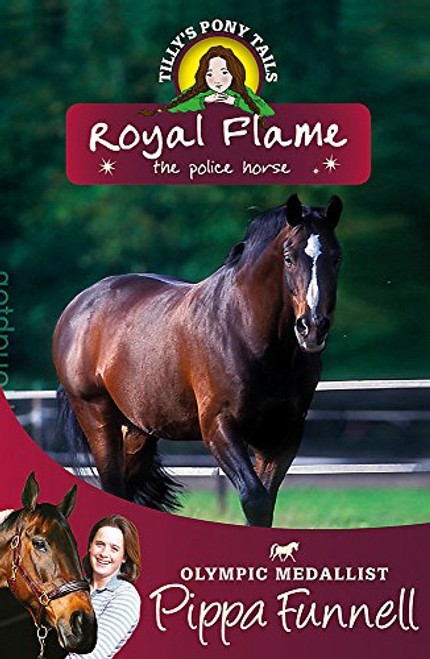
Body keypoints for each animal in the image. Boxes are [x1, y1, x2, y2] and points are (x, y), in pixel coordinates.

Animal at [53, 193, 343, 527]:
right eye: (288, 257)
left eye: (336, 258)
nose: (313, 327)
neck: (247, 332)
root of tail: (77, 307)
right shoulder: (219, 427)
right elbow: (254, 498)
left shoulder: (282, 433)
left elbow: (265, 502)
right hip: (97, 417)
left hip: (138, 431)